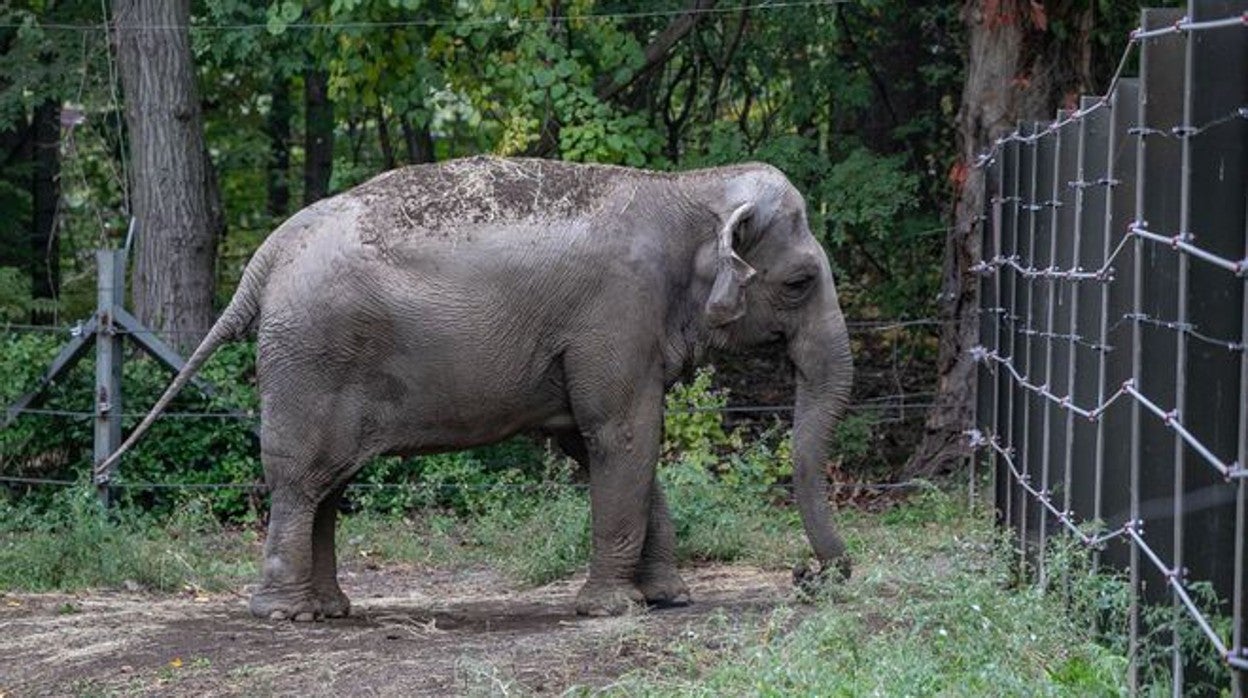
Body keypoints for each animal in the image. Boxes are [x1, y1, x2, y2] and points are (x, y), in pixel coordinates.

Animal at [101, 156, 854, 621]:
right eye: (799, 283)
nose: (812, 576)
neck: (687, 189)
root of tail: (266, 256)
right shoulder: (616, 314)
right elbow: (623, 434)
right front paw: (613, 609)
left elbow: (597, 443)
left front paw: (667, 598)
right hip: (309, 359)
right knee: (299, 480)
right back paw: (288, 614)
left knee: (328, 487)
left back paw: (330, 610)